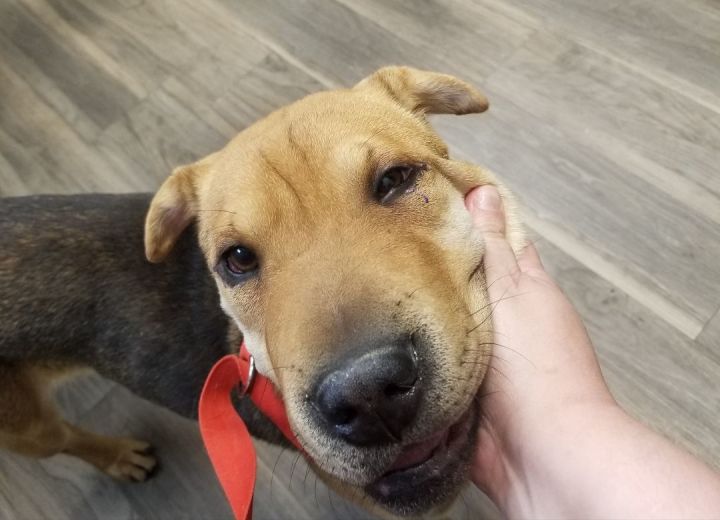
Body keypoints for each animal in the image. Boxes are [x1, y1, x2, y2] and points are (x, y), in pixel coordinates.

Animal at [0, 67, 524, 516]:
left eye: (394, 179)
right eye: (237, 259)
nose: (367, 395)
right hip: (29, 429)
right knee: (65, 438)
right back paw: (118, 455)